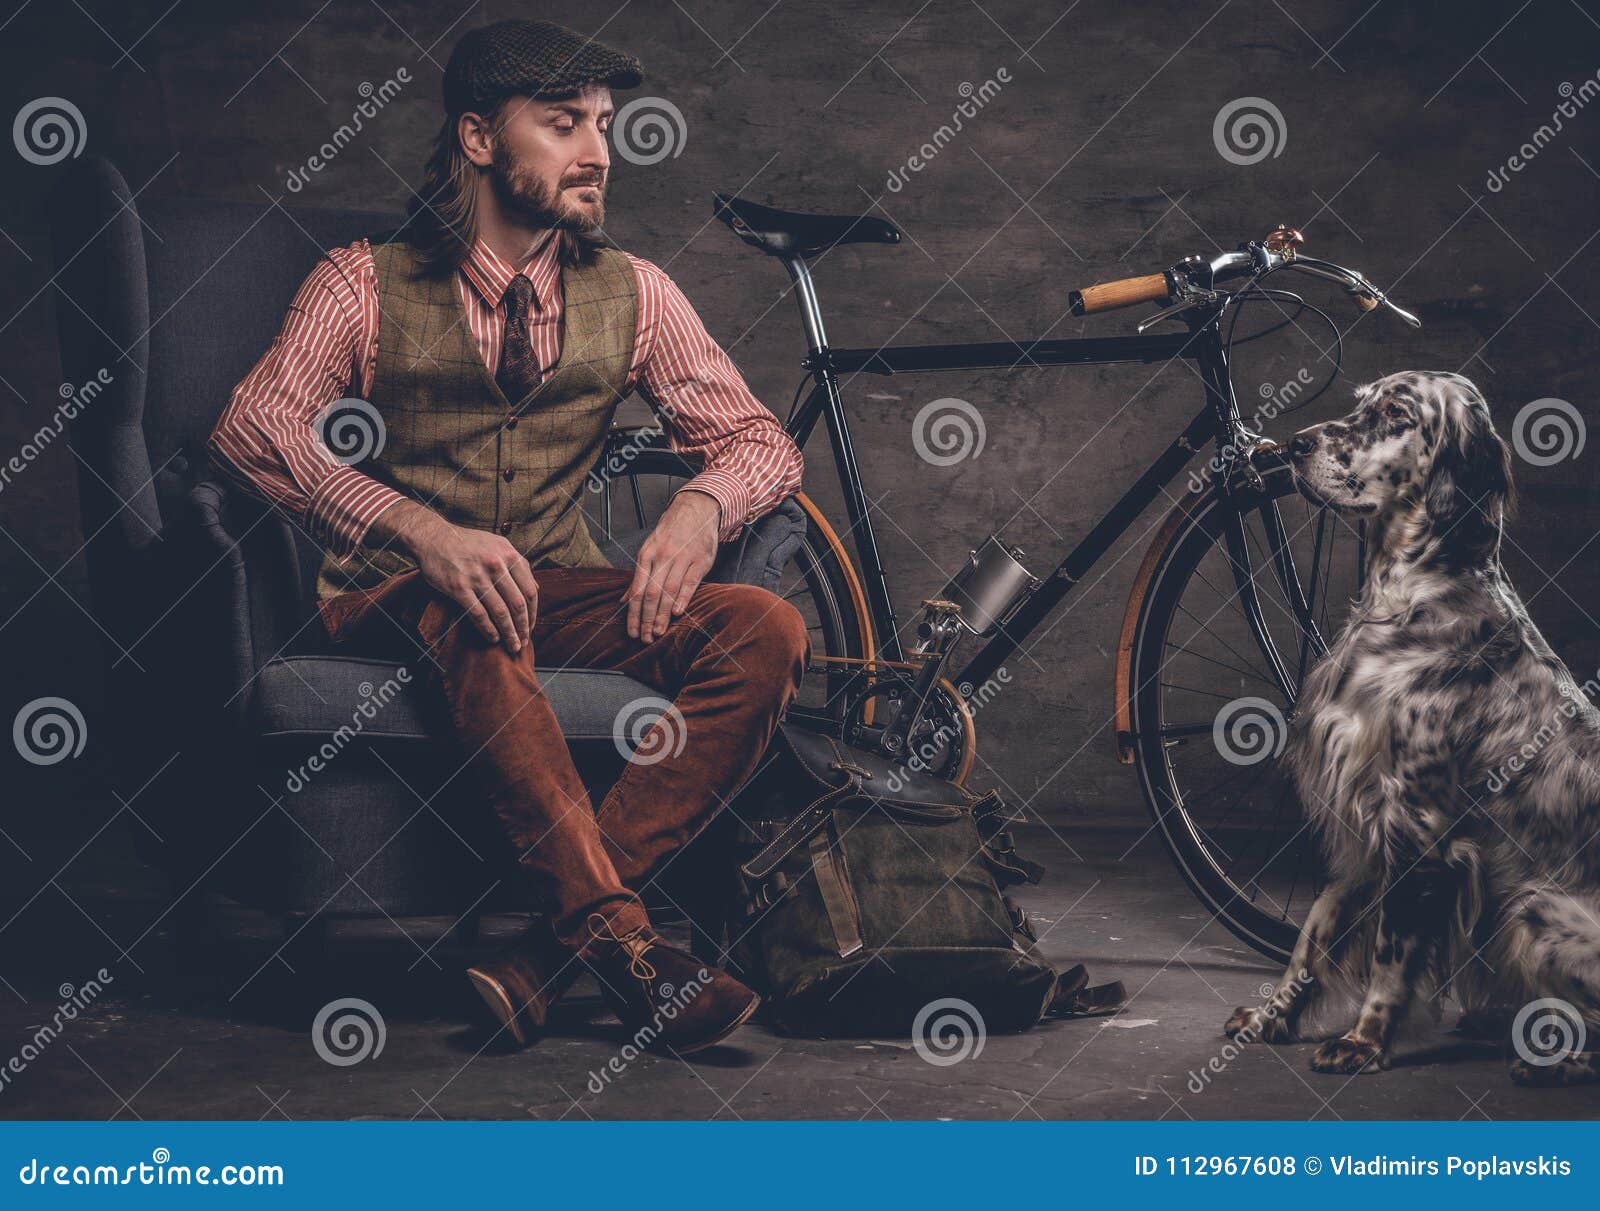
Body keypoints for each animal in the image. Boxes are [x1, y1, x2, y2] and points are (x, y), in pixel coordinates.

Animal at [1222, 371, 1600, 1087]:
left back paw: (1554, 1061)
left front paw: (1364, 1042)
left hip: (1538, 908)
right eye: (1360, 402)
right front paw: (1271, 1018)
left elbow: (1391, 952)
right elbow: (1313, 934)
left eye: (1397, 414)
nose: (1294, 444)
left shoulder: (1418, 826)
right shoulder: (1360, 815)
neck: (1408, 599)